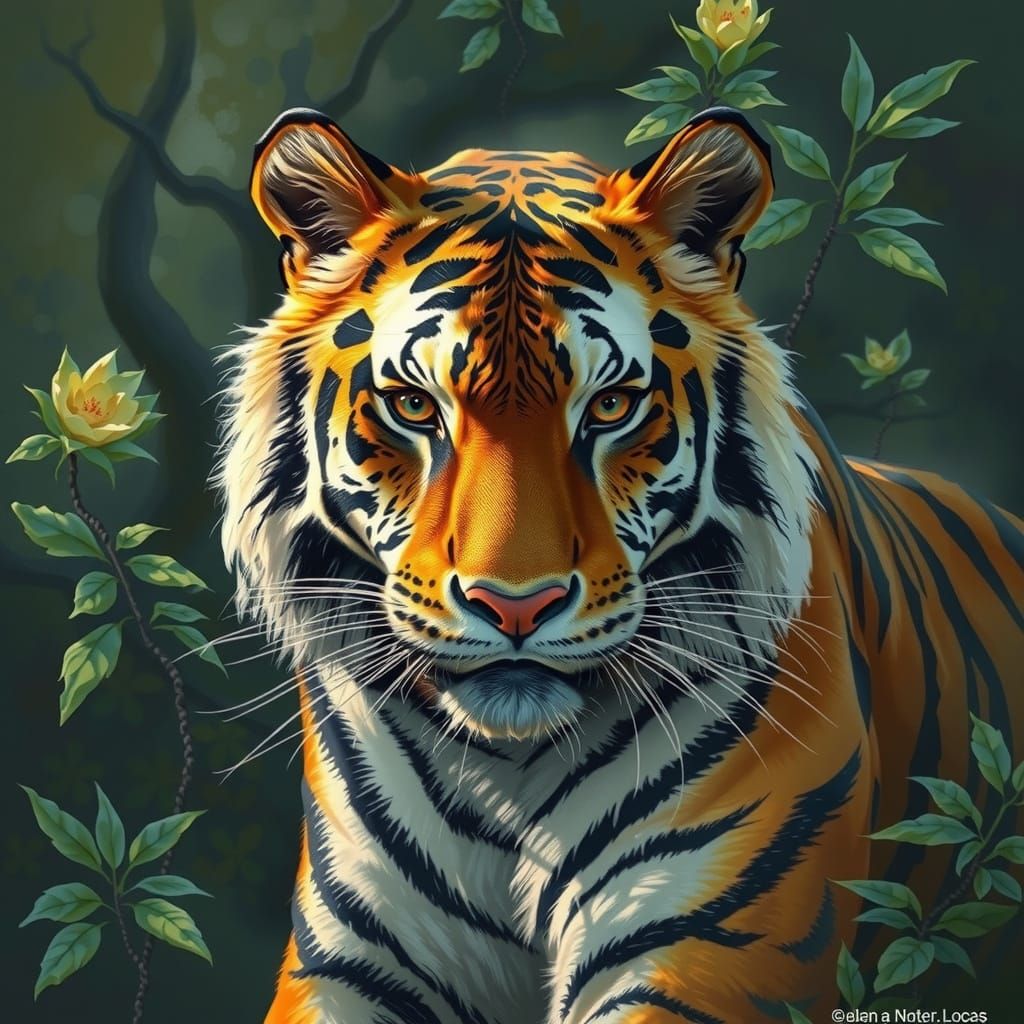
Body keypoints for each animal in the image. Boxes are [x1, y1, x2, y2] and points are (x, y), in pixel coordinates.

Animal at [216, 105, 1024, 1024]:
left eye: (609, 406)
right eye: (416, 406)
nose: (516, 606)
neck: (506, 776)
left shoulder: (708, 949)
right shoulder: (351, 959)